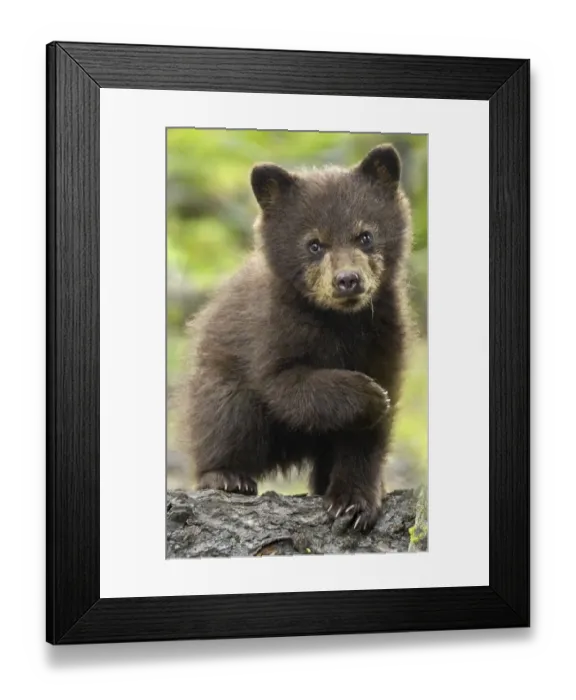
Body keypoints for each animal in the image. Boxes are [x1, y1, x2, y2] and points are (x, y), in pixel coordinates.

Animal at [176, 143, 414, 532]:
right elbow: (285, 385)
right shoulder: (272, 330)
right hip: (218, 383)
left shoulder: (385, 334)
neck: (339, 322)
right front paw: (368, 394)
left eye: (365, 235)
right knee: (225, 415)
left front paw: (354, 503)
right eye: (314, 244)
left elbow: (367, 436)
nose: (348, 280)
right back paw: (226, 476)